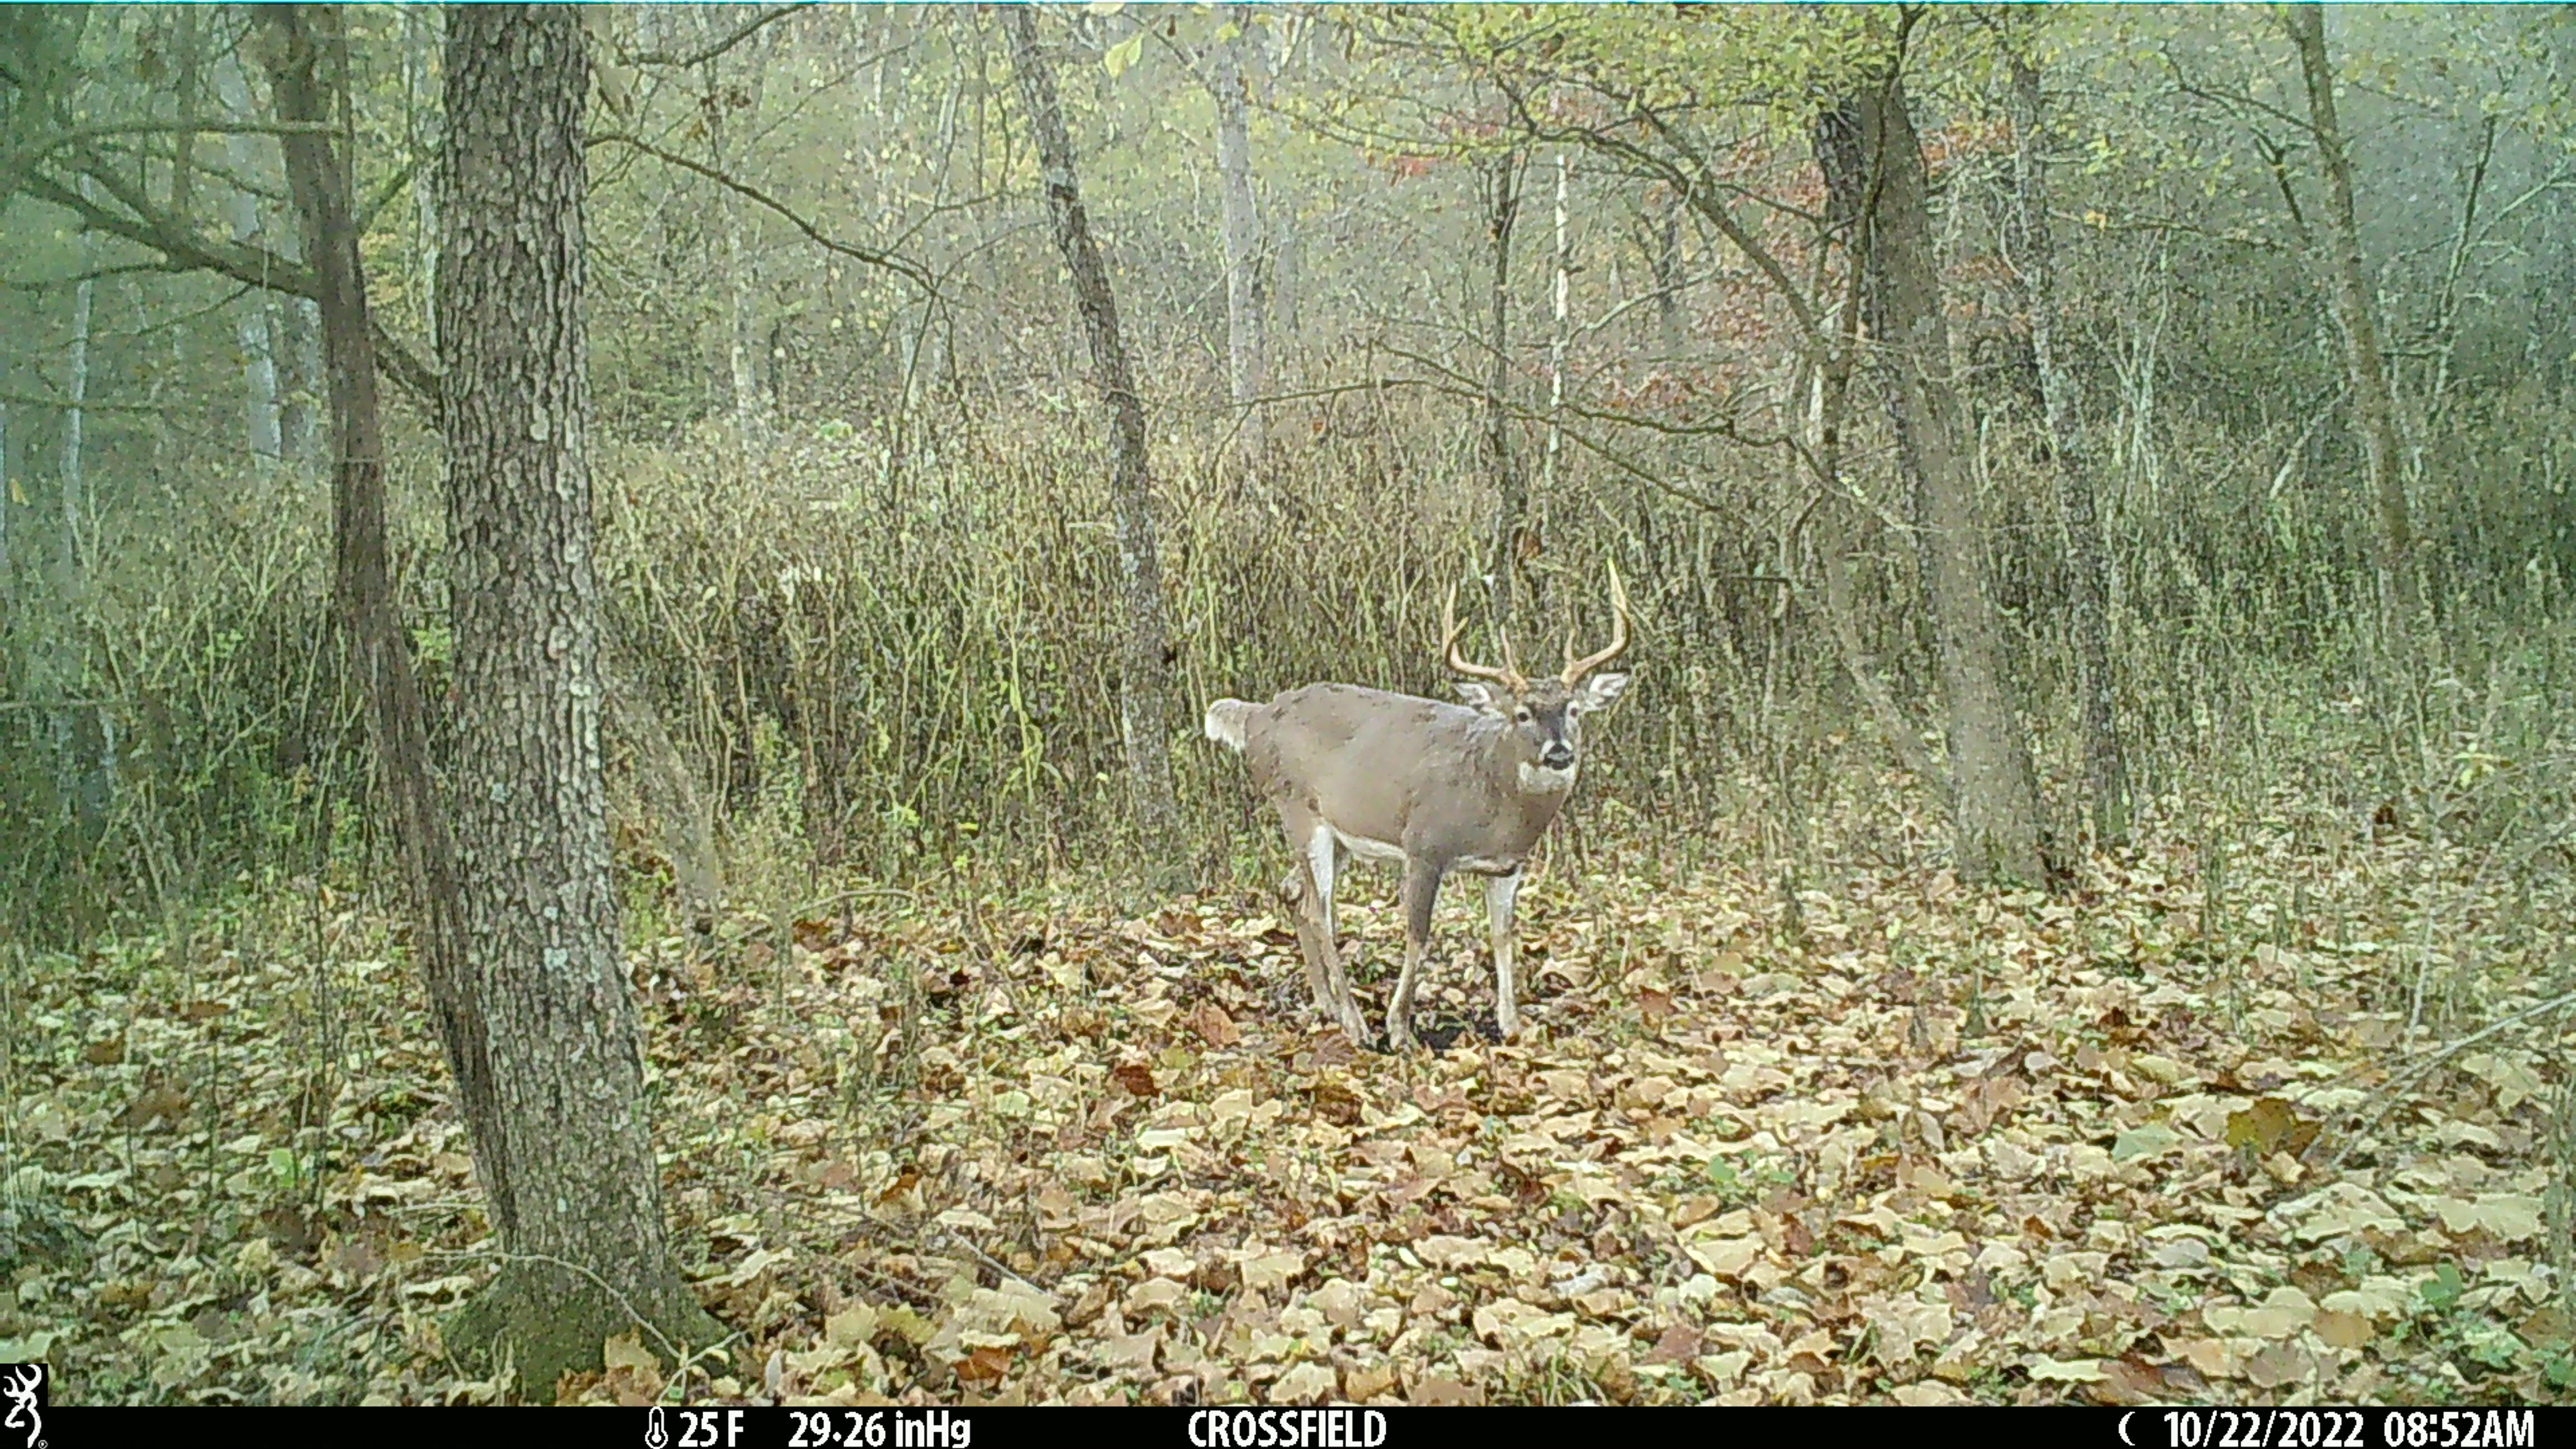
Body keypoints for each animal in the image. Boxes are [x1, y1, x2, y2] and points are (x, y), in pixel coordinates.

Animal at [1203, 565, 1632, 1050]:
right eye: (1522, 714)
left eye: (1574, 710)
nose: (1559, 752)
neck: (1493, 804)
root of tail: (1254, 717)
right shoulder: (1425, 844)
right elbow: (1417, 932)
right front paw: (1400, 1028)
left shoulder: (1508, 865)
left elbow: (1503, 934)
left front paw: (1512, 1025)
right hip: (1298, 808)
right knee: (1319, 910)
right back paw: (1356, 1025)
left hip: (1338, 834)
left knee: (1293, 891)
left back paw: (1327, 1004)